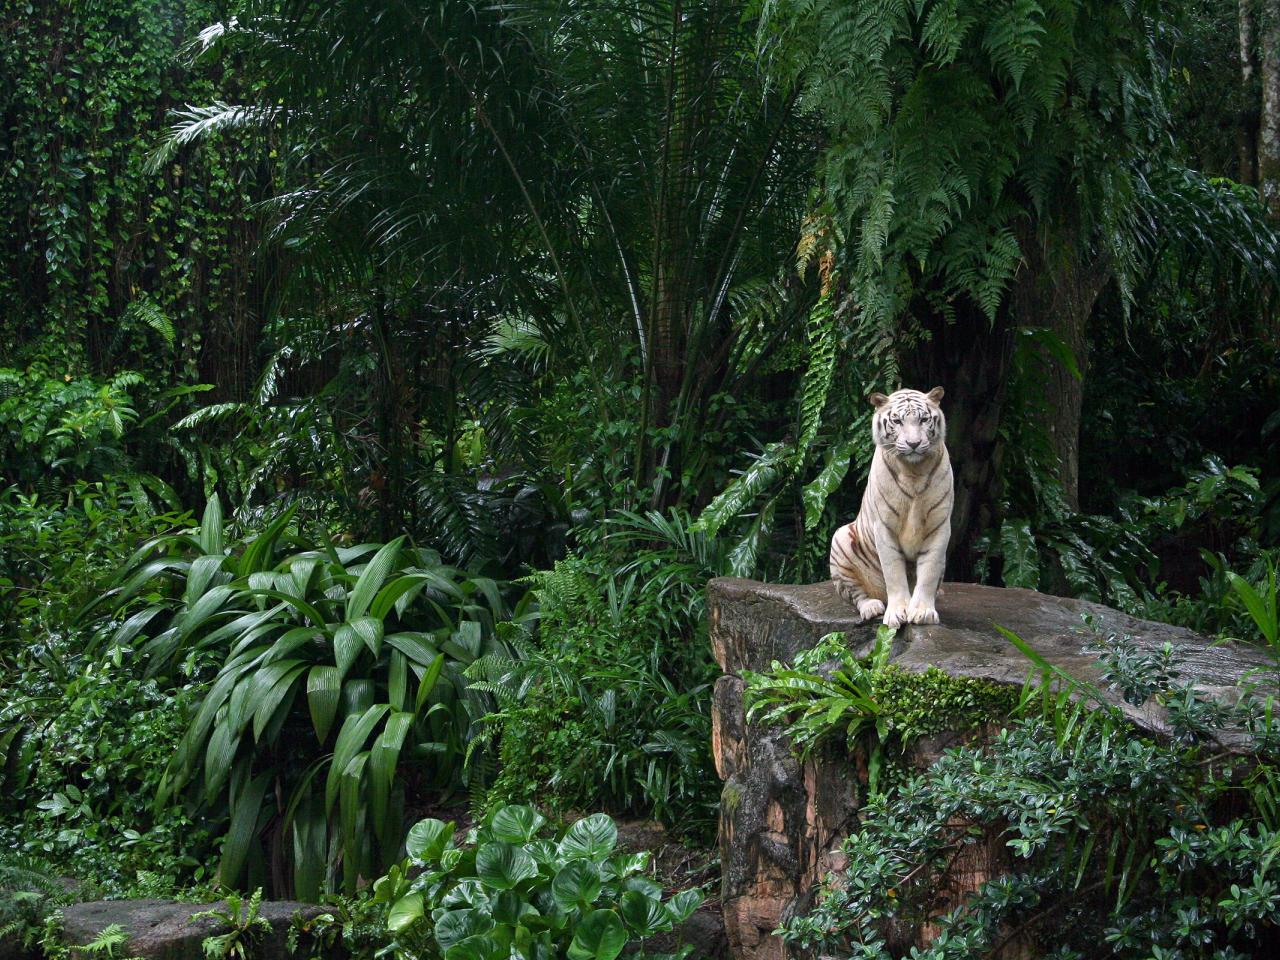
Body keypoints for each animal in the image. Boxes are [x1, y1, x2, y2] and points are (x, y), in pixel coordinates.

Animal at [829, 386, 952, 627]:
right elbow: (893, 572)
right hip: (840, 539)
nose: (914, 444)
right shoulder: (884, 527)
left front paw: (923, 612)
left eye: (924, 419)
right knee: (856, 594)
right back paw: (871, 607)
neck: (914, 471)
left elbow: (929, 570)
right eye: (897, 421)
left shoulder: (939, 526)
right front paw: (898, 612)